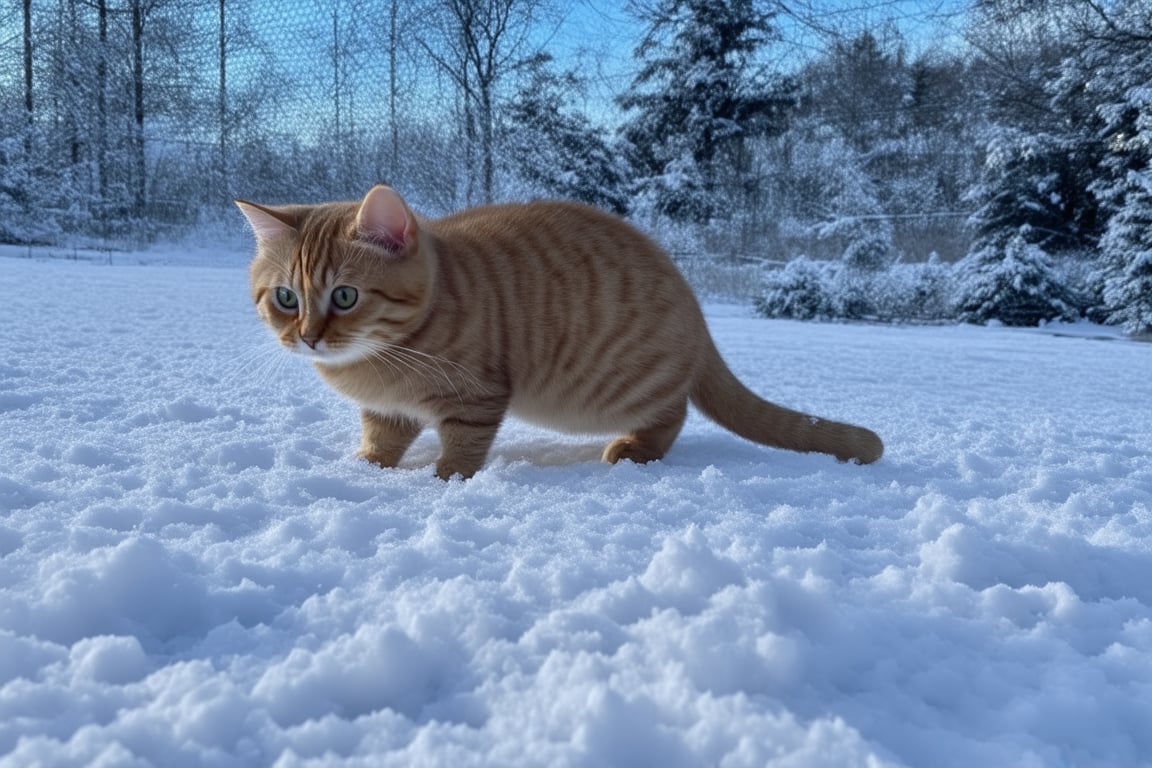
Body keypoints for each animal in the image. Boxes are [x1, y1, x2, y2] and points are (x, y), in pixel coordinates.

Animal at [236, 183, 880, 476]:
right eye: (287, 298)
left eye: (345, 296)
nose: (307, 336)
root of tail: (697, 317)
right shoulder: (385, 412)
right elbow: (381, 441)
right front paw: (366, 467)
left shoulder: (476, 397)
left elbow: (462, 446)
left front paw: (446, 479)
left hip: (619, 390)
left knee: (672, 415)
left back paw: (634, 449)